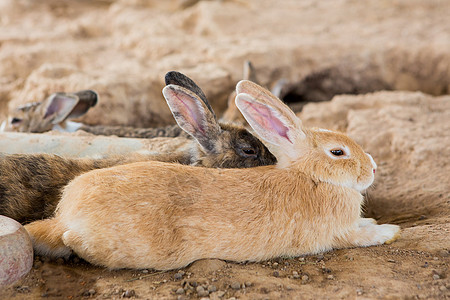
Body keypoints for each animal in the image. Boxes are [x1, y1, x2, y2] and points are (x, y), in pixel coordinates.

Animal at [24, 79, 400, 270]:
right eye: (338, 153)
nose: (373, 169)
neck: (312, 177)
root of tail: (65, 217)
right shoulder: (339, 234)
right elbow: (361, 236)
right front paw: (389, 231)